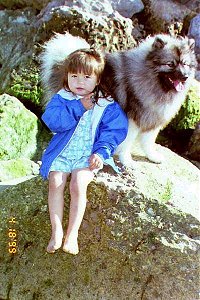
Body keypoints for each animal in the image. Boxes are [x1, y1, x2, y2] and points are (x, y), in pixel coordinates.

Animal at [39, 33, 197, 169]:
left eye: (185, 64)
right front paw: (127, 161)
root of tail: (64, 60)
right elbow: (127, 143)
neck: (151, 78)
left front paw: (152, 156)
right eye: (170, 64)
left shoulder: (151, 117)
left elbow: (148, 141)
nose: (185, 76)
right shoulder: (132, 119)